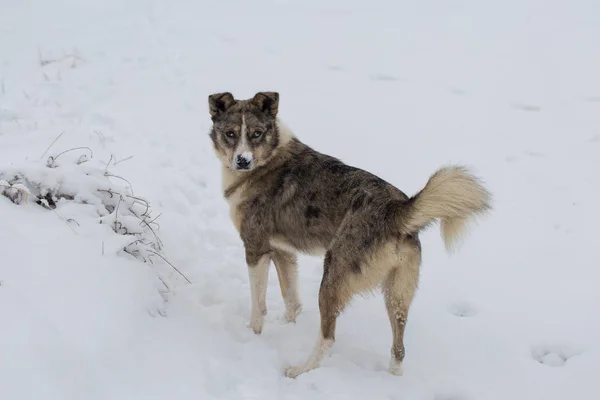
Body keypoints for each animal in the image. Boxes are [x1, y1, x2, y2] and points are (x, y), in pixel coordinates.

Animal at [209, 91, 490, 378]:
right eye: (230, 134)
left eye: (256, 133)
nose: (243, 161)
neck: (268, 157)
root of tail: (397, 209)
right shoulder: (283, 251)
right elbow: (292, 301)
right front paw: (288, 325)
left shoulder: (256, 248)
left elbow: (258, 305)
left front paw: (253, 335)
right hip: (397, 294)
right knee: (399, 346)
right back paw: (393, 375)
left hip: (332, 277)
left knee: (328, 336)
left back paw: (300, 370)